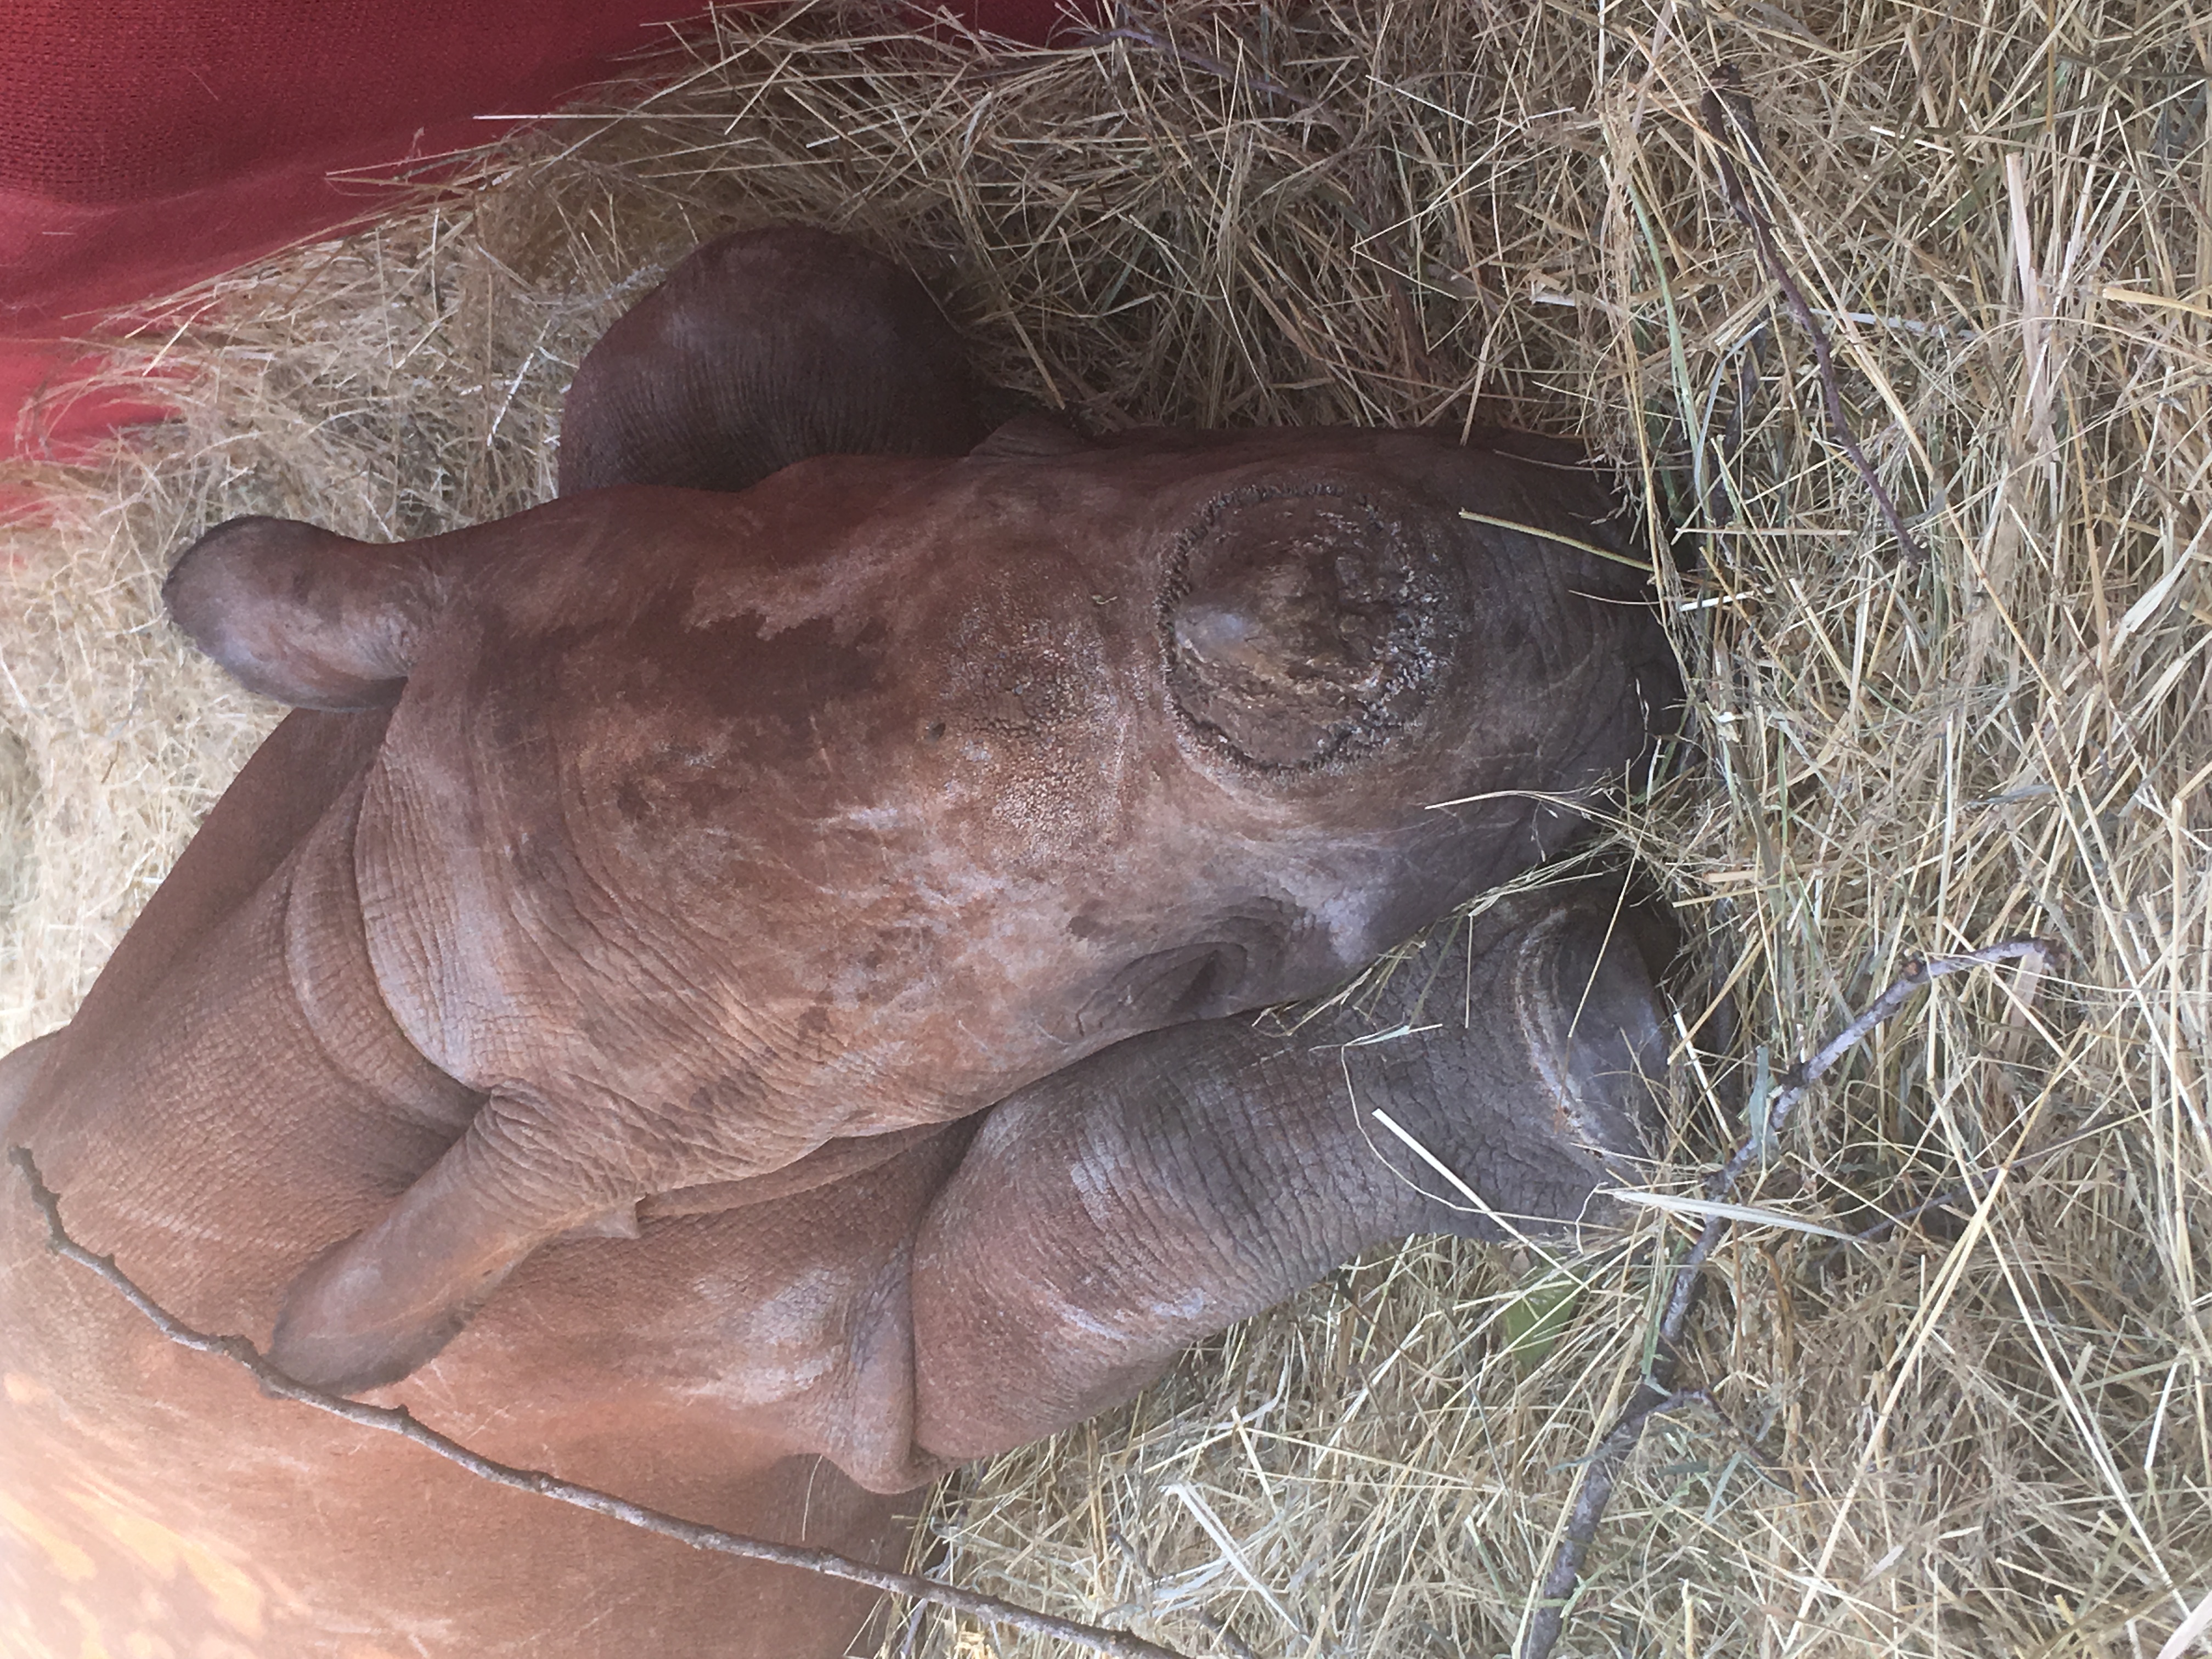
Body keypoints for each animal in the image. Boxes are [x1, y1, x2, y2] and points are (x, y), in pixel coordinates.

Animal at [0, 226, 1678, 1657]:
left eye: (1036, 460)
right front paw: (1576, 1048)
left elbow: (754, 289)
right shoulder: (810, 1360)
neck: (367, 971)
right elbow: (1122, 1195)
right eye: (1197, 978)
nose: (1567, 579)